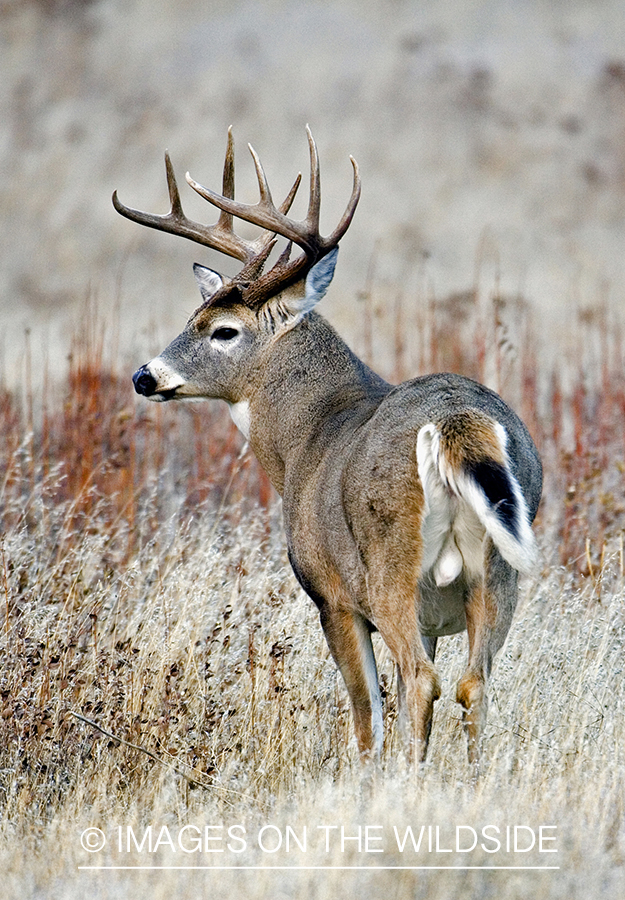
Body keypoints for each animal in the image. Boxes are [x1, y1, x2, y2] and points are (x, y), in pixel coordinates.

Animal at [113, 126, 540, 764]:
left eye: (223, 330)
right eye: (193, 316)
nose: (146, 376)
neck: (306, 439)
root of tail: (455, 421)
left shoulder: (330, 595)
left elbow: (368, 715)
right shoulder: (433, 617)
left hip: (390, 565)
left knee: (421, 681)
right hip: (498, 570)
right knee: (473, 683)